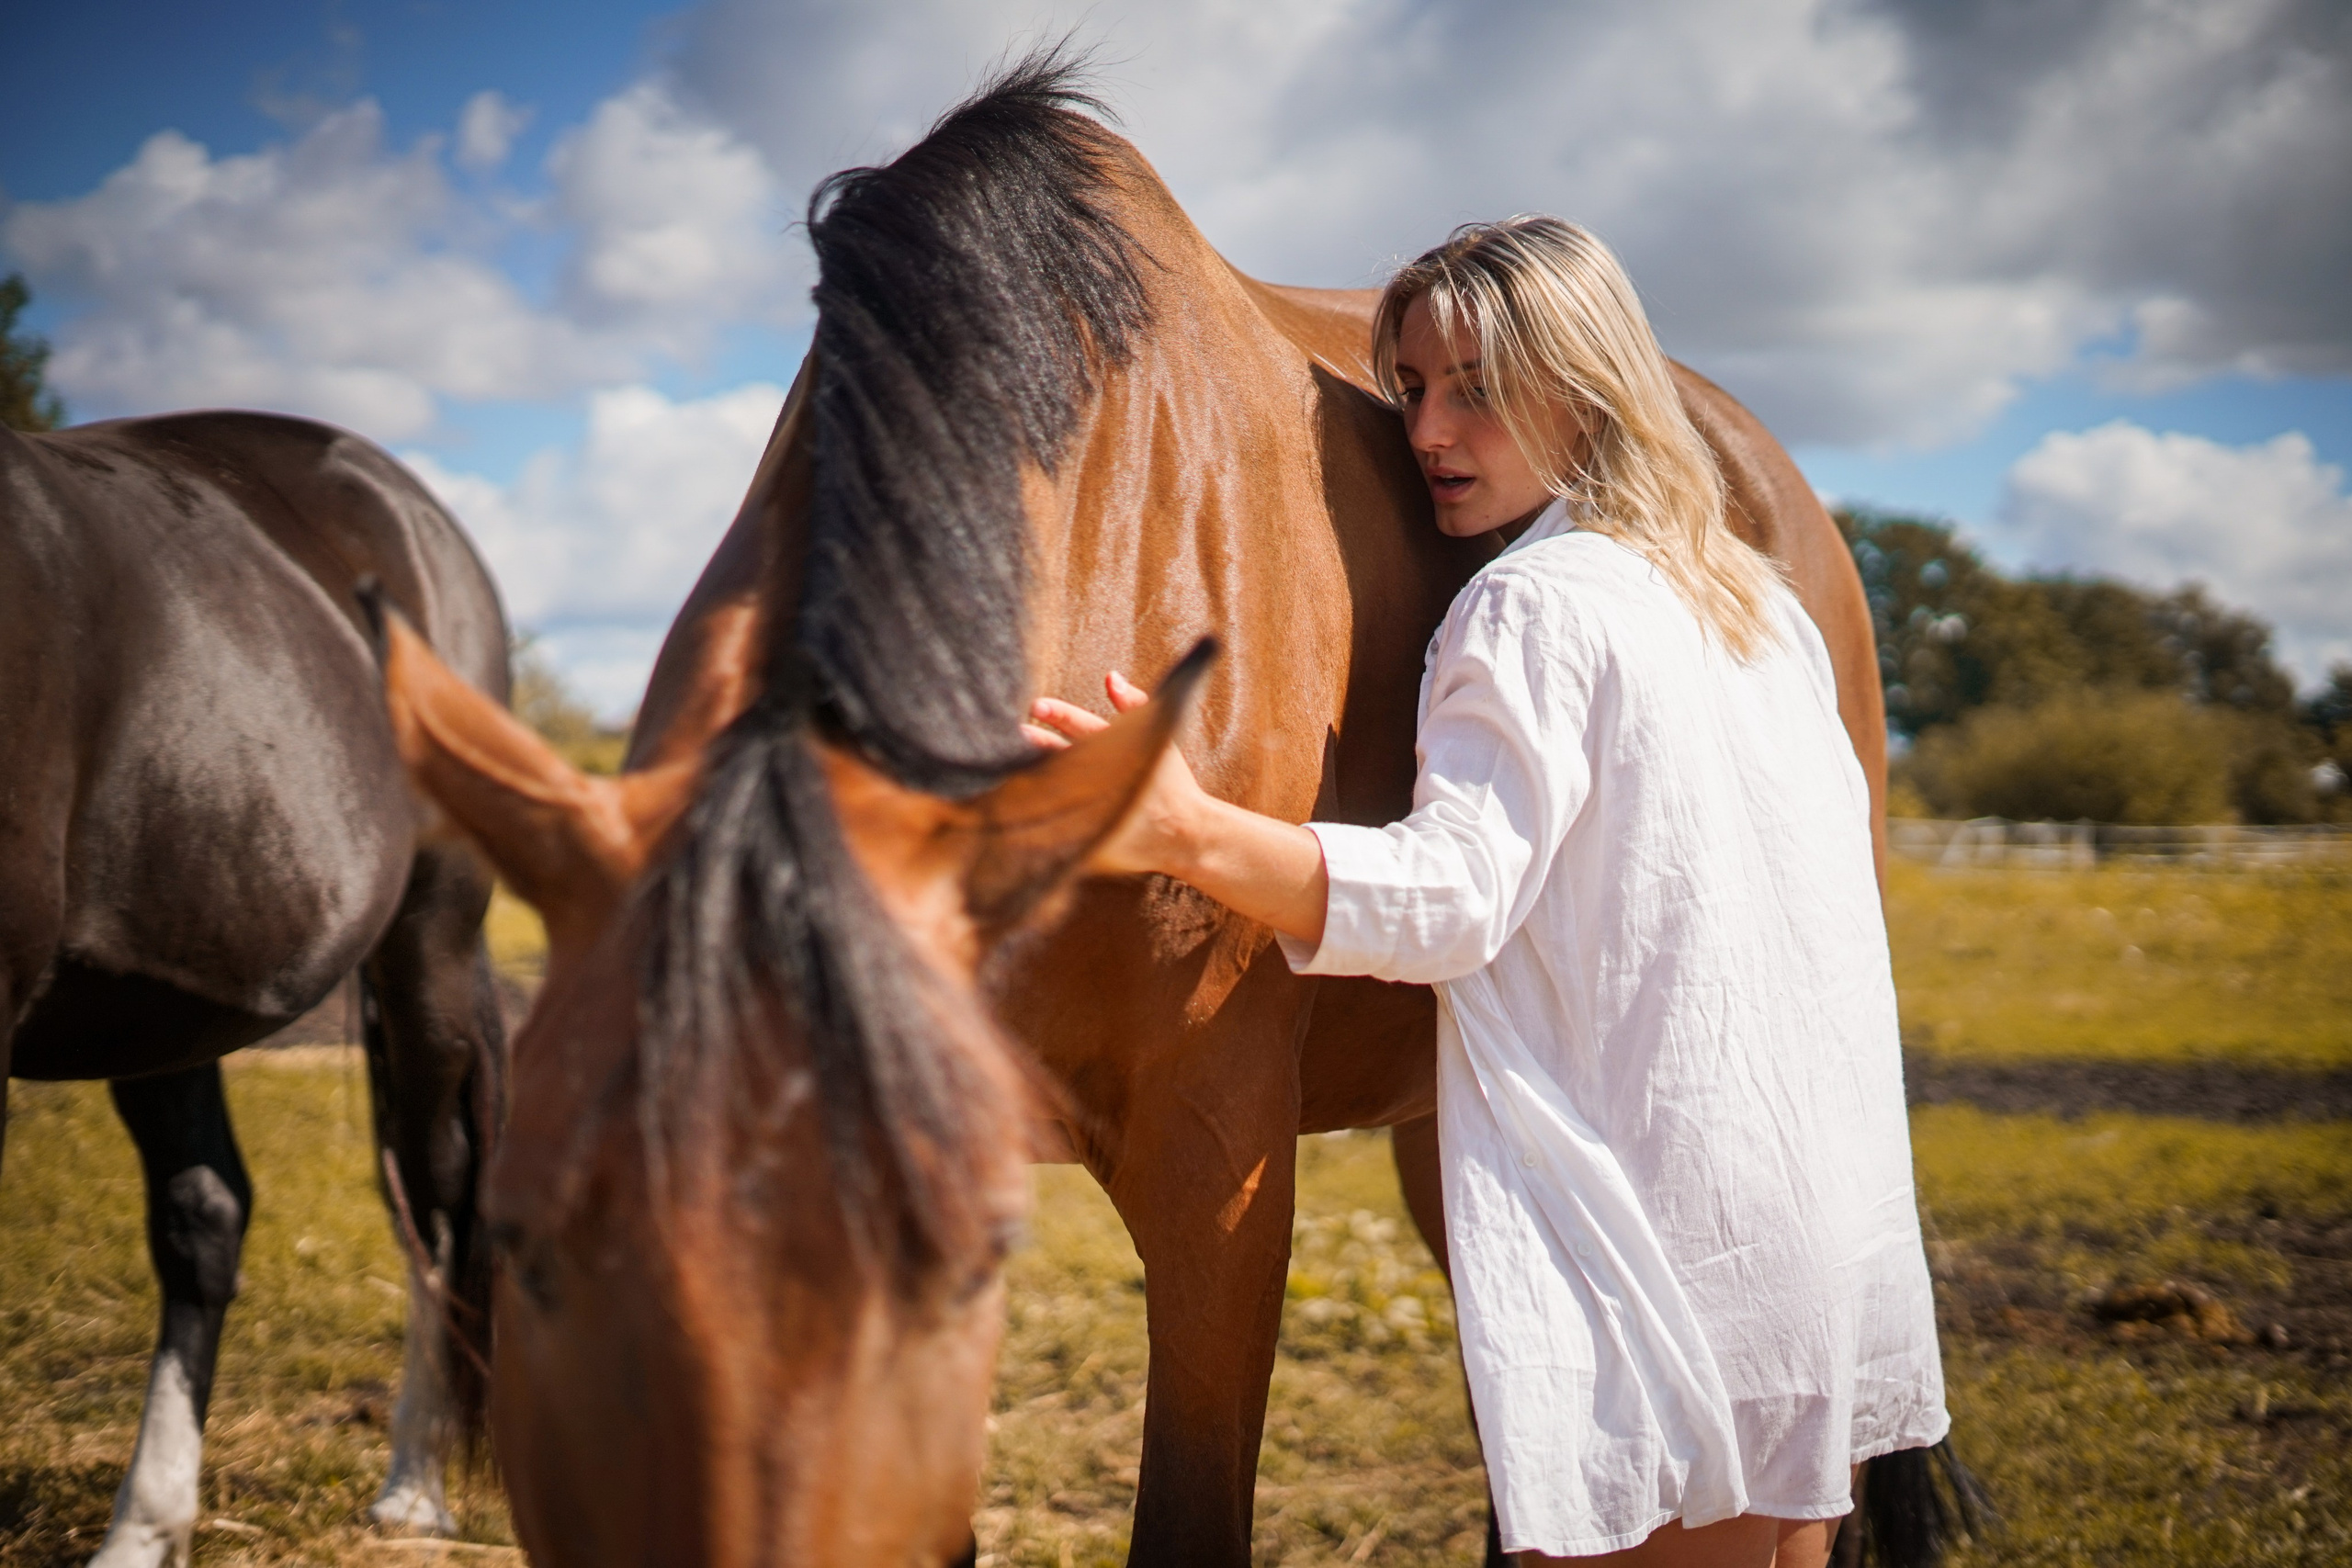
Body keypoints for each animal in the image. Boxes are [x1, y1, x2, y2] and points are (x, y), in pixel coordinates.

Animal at [0, 411, 510, 1566]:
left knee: (435, 1191)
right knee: (208, 1218)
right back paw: (145, 1530)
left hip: (428, 943)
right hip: (161, 995)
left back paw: (414, 1492)